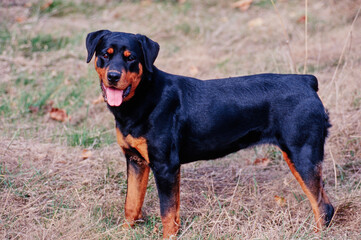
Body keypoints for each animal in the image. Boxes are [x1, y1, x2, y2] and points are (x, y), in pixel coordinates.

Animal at [86, 30, 334, 238]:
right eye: (105, 55)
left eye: (131, 58)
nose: (113, 76)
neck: (143, 97)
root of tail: (307, 81)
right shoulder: (135, 160)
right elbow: (132, 203)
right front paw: (124, 232)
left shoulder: (166, 166)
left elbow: (167, 211)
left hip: (302, 154)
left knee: (322, 206)